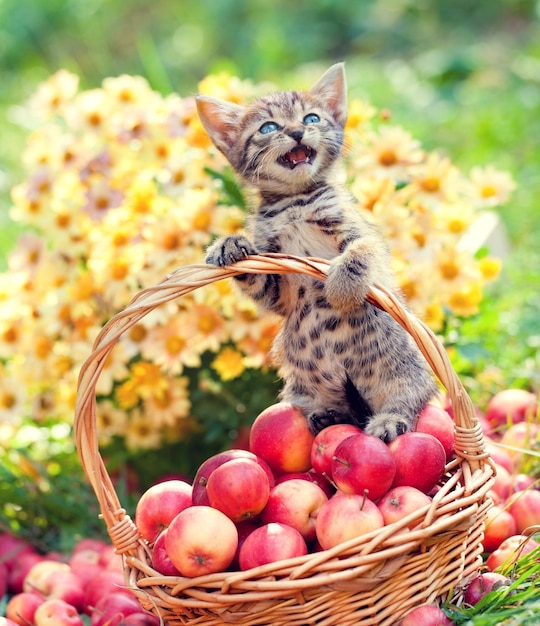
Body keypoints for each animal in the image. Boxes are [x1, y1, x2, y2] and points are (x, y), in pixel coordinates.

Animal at [197, 63, 438, 438]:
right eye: (268, 127)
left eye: (311, 118)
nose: (297, 132)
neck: (294, 202)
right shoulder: (279, 284)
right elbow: (262, 282)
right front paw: (229, 243)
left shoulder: (356, 230)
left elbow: (362, 251)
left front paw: (341, 287)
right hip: (301, 389)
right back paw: (328, 415)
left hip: (403, 371)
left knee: (408, 399)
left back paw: (387, 421)